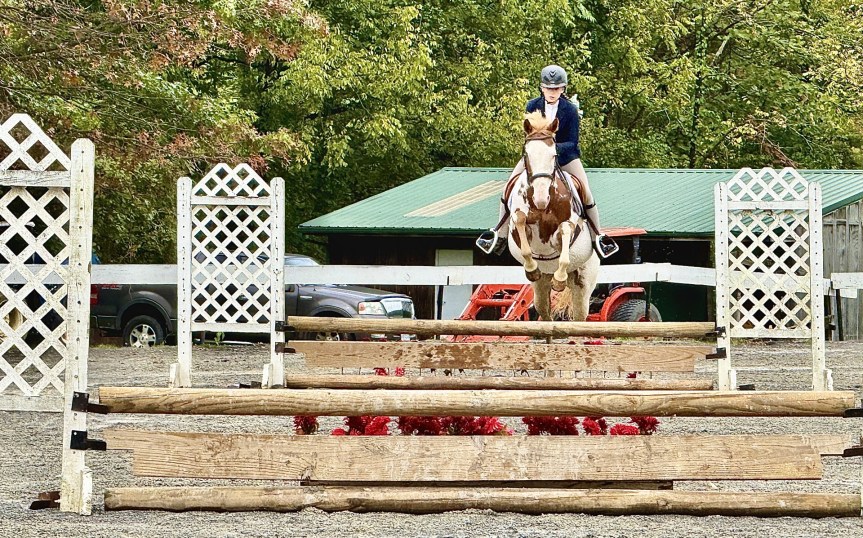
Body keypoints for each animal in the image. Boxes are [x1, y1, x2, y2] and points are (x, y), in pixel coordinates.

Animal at [506, 111, 600, 321]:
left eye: (554, 155)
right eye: (526, 155)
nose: (541, 200)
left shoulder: (568, 225)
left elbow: (564, 231)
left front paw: (560, 279)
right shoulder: (517, 221)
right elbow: (521, 222)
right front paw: (531, 269)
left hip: (583, 285)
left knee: (579, 317)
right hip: (541, 287)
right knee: (544, 313)